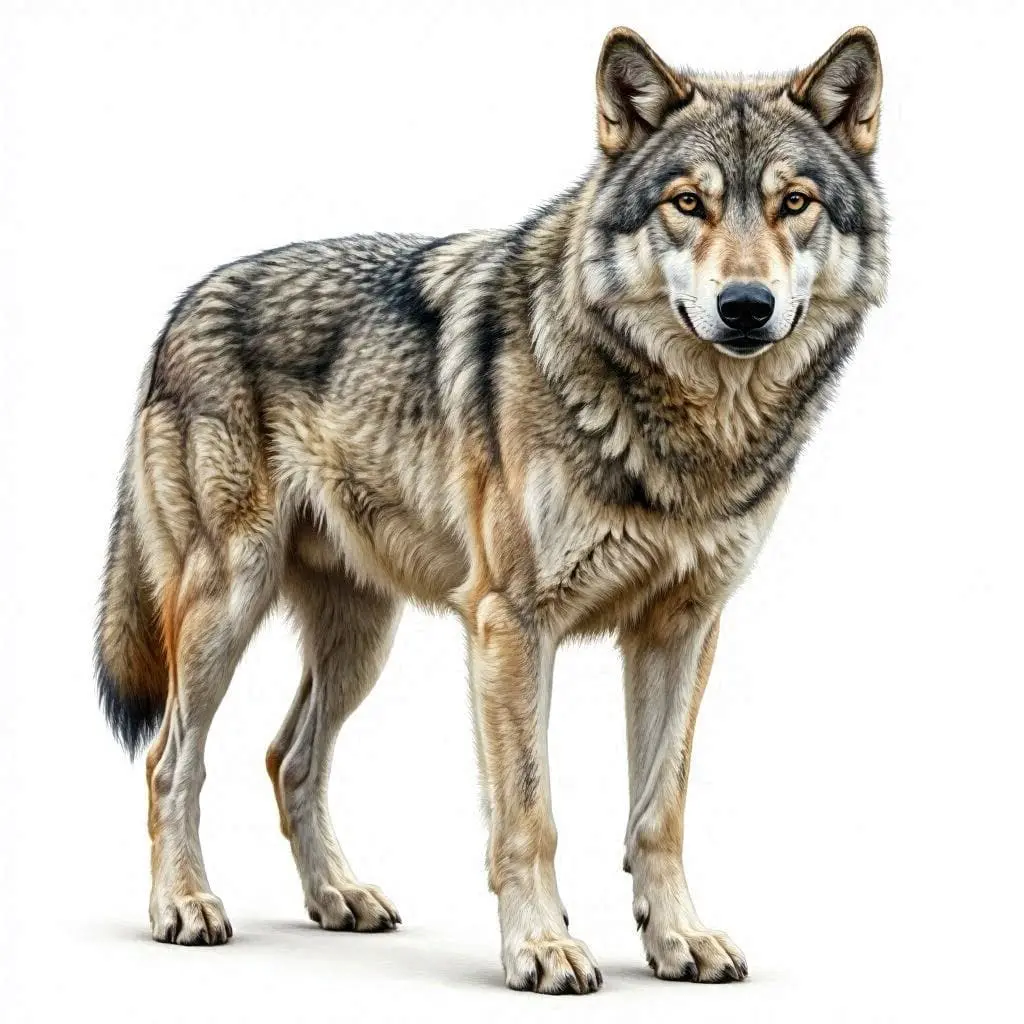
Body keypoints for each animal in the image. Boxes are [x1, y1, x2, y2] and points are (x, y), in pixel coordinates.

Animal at [95, 26, 886, 993]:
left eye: (795, 204)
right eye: (688, 204)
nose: (745, 307)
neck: (688, 429)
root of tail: (181, 306)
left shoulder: (682, 628)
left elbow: (660, 811)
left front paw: (678, 940)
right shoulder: (512, 624)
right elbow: (529, 814)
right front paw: (541, 946)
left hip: (363, 640)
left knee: (290, 758)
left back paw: (338, 898)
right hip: (226, 605)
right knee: (173, 759)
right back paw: (184, 905)